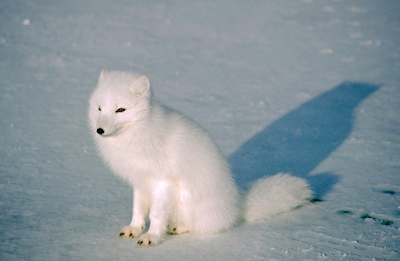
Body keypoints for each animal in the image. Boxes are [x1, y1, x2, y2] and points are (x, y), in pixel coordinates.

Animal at [88, 70, 312, 246]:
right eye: (100, 108)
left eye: (120, 110)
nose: (100, 130)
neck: (138, 132)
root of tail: (236, 205)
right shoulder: (140, 180)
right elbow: (138, 209)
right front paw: (135, 229)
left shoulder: (163, 180)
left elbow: (157, 213)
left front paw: (152, 236)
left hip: (186, 196)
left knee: (201, 226)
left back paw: (180, 227)